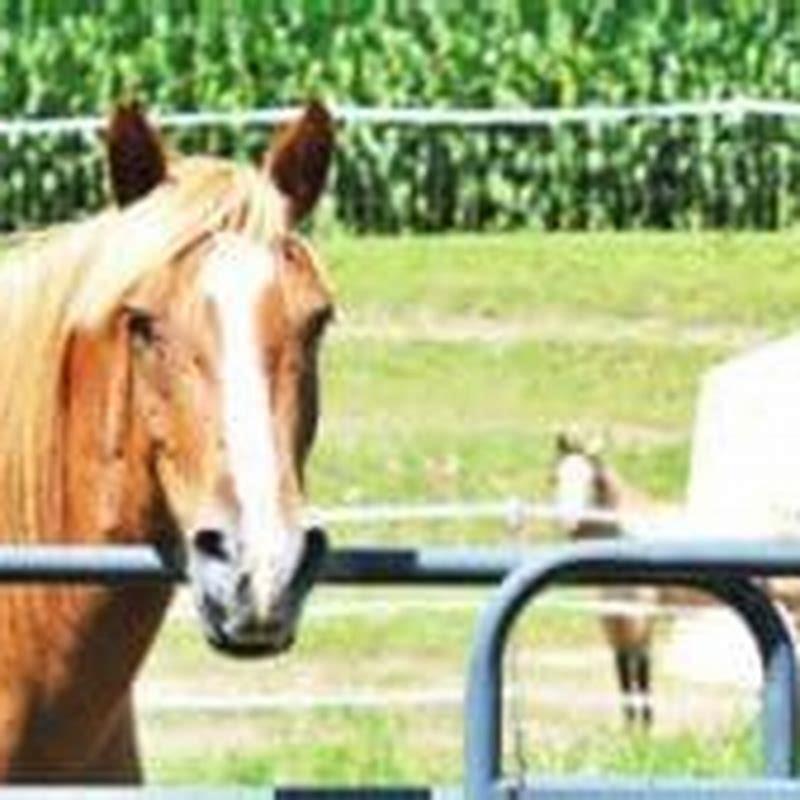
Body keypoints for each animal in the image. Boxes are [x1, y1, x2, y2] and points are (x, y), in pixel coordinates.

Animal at [552, 434, 660, 728]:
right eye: (557, 478)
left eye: (592, 480)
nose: (569, 523)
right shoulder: (613, 617)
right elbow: (622, 668)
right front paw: (629, 728)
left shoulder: (642, 618)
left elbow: (642, 668)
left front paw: (645, 729)